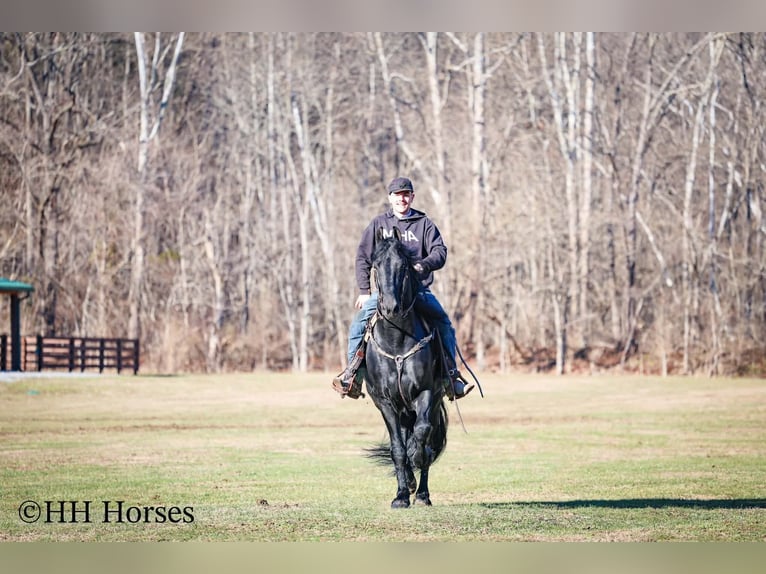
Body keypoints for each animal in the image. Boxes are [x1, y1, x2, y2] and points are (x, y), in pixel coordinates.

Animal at [363, 227, 449, 508]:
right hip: (401, 410)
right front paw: (401, 494)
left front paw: (417, 479)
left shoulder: (427, 393)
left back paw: (422, 493)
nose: (391, 307)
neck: (397, 340)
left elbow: (422, 439)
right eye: (376, 265)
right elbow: (398, 449)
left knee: (425, 438)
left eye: (403, 266)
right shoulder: (385, 401)